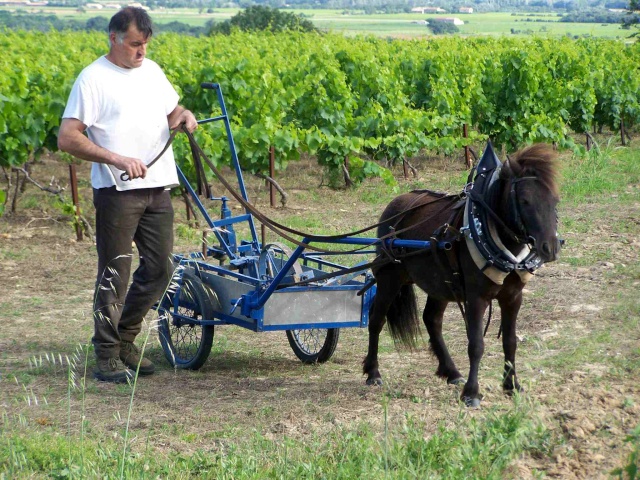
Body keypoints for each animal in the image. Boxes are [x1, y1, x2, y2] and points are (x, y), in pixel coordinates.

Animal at [364, 142, 560, 404]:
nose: (550, 247)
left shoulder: (513, 297)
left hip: (439, 282)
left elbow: (510, 342)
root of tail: (395, 205)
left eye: (555, 199)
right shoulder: (476, 298)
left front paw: (511, 385)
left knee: (431, 319)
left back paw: (451, 371)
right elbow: (476, 344)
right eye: (525, 200)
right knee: (376, 319)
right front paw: (471, 393)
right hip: (390, 278)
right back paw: (373, 372)